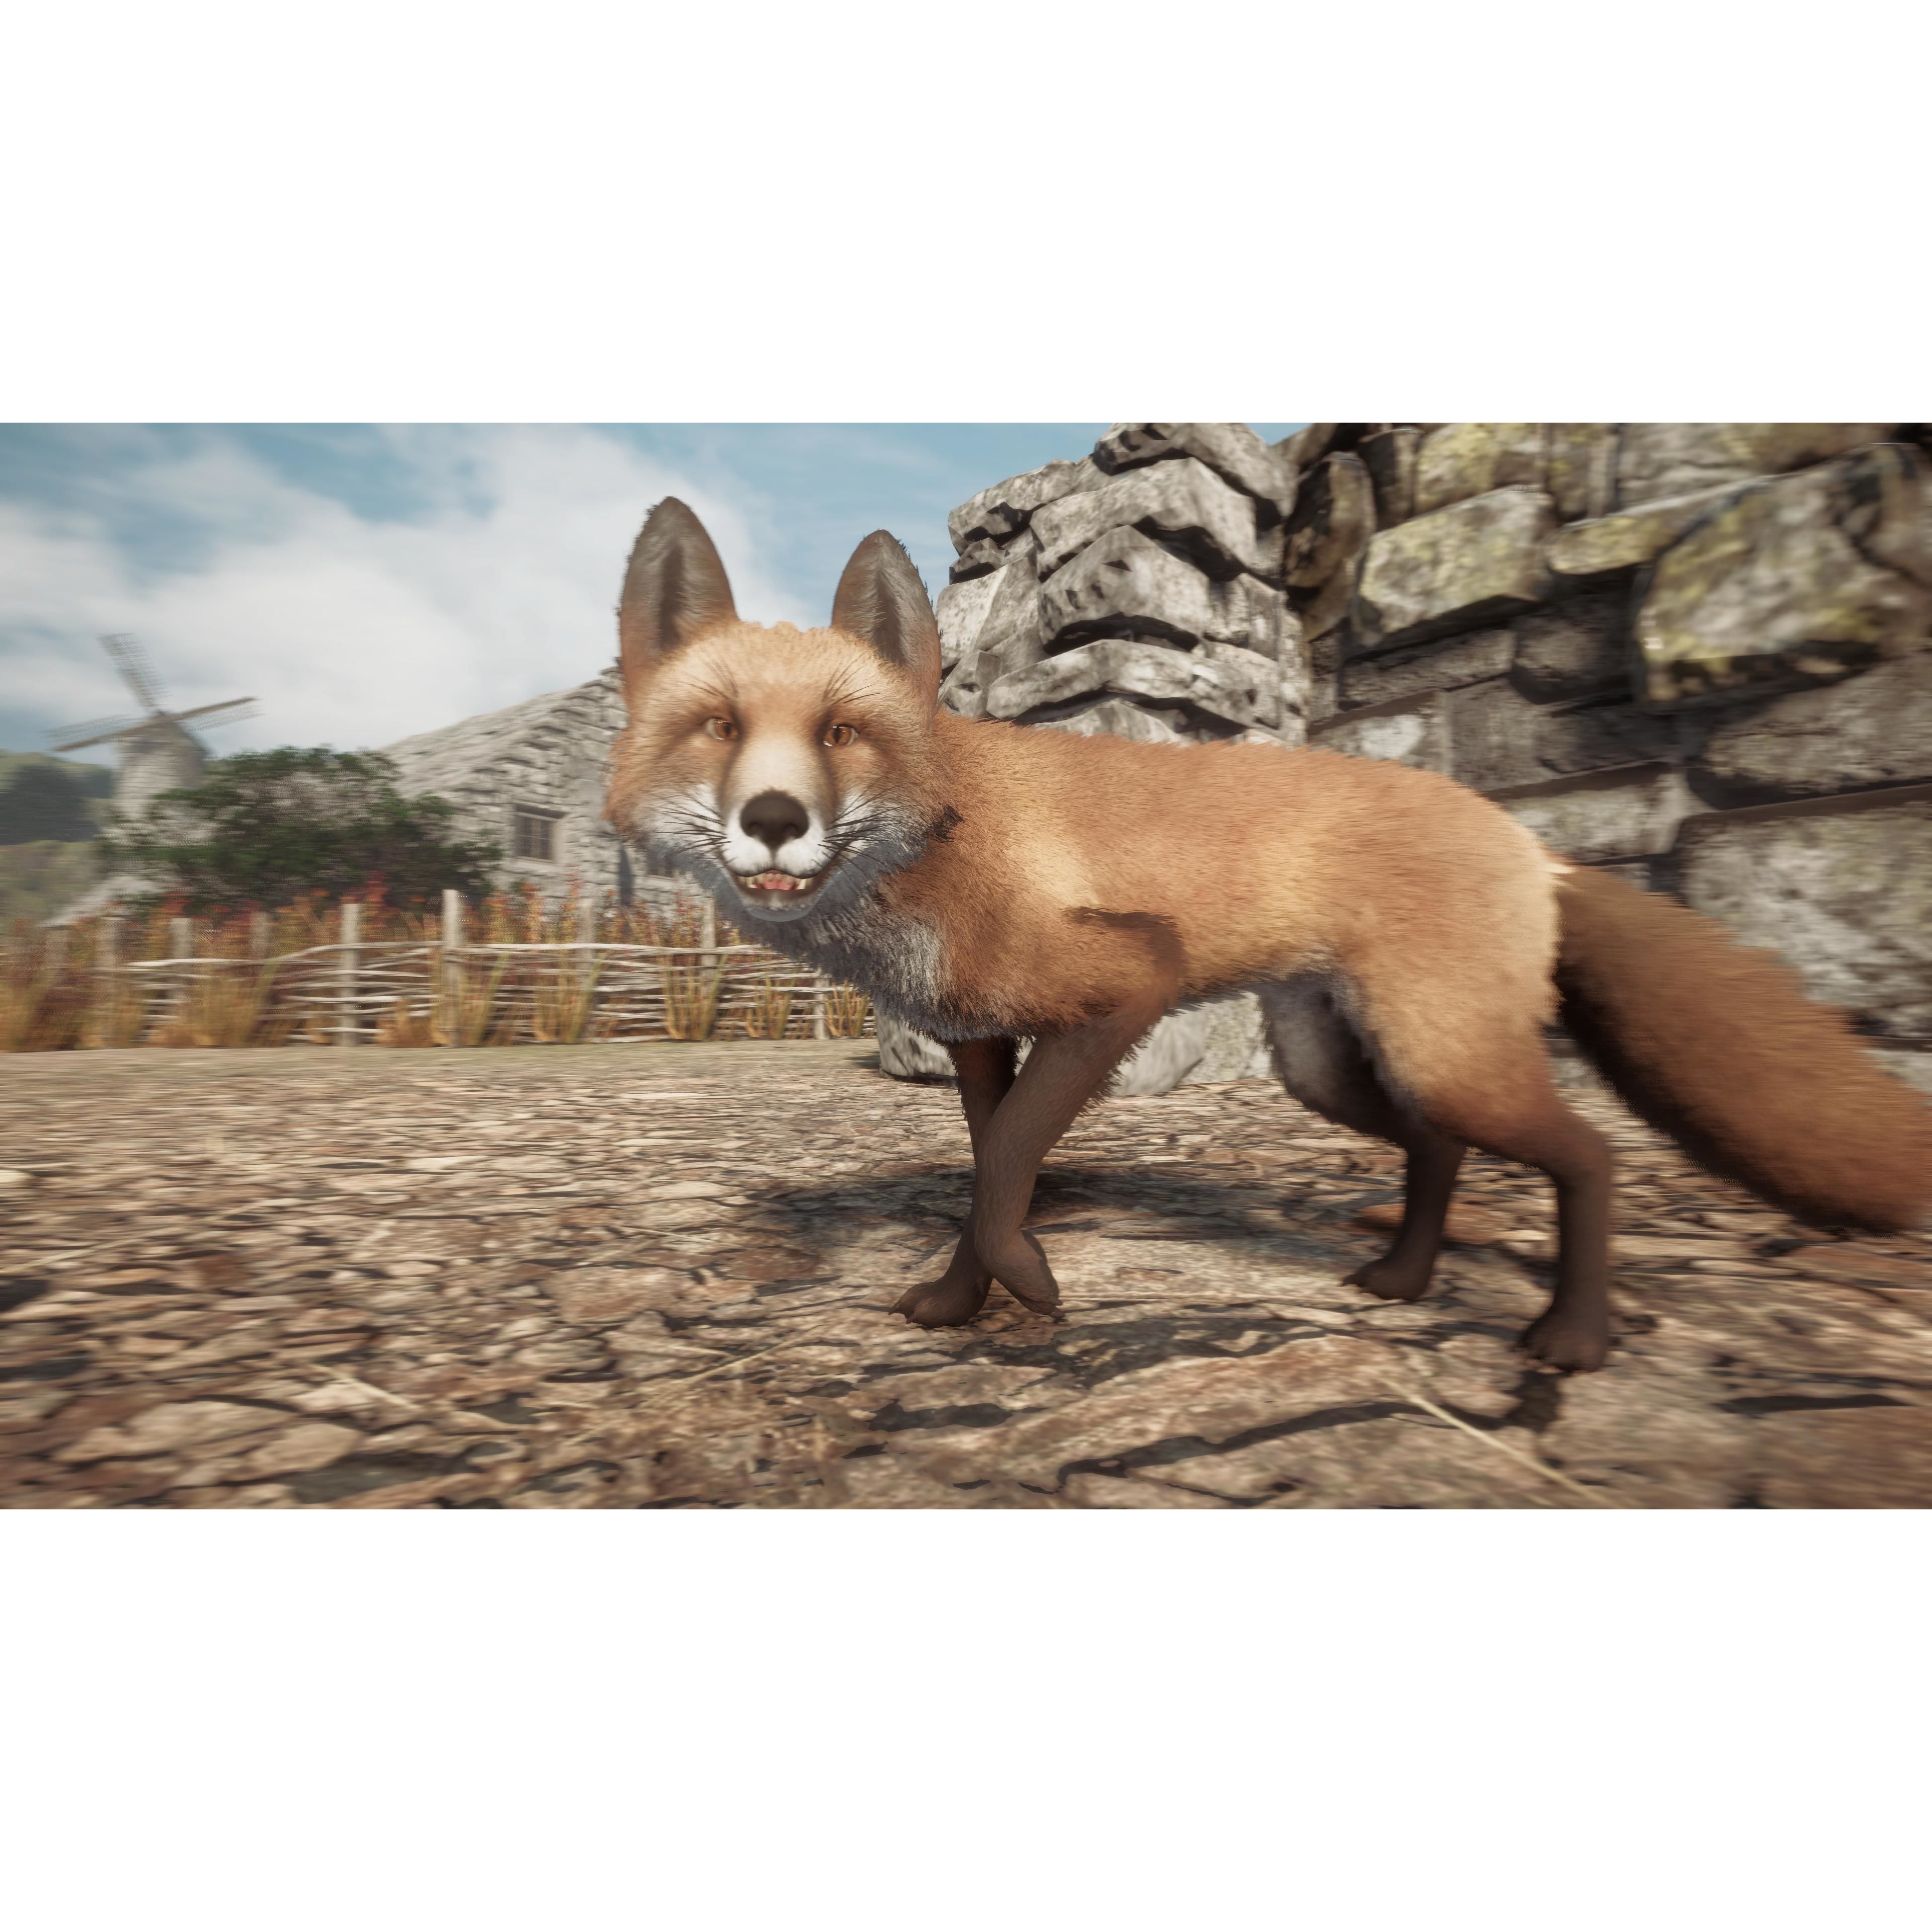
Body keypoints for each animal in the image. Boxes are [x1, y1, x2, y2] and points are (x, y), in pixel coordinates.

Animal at [604, 497, 1932, 1373]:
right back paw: (1404, 1280)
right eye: (718, 727)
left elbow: (1006, 1170)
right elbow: (990, 1170)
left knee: (1589, 1157)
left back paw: (1570, 1335)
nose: (775, 821)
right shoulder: (981, 1038)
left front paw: (1028, 1288)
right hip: (1334, 1067)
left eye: (842, 734)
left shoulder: (1120, 987)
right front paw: (958, 1302)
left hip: (1442, 1055)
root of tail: (1523, 838)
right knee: (1434, 1151)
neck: (946, 841)